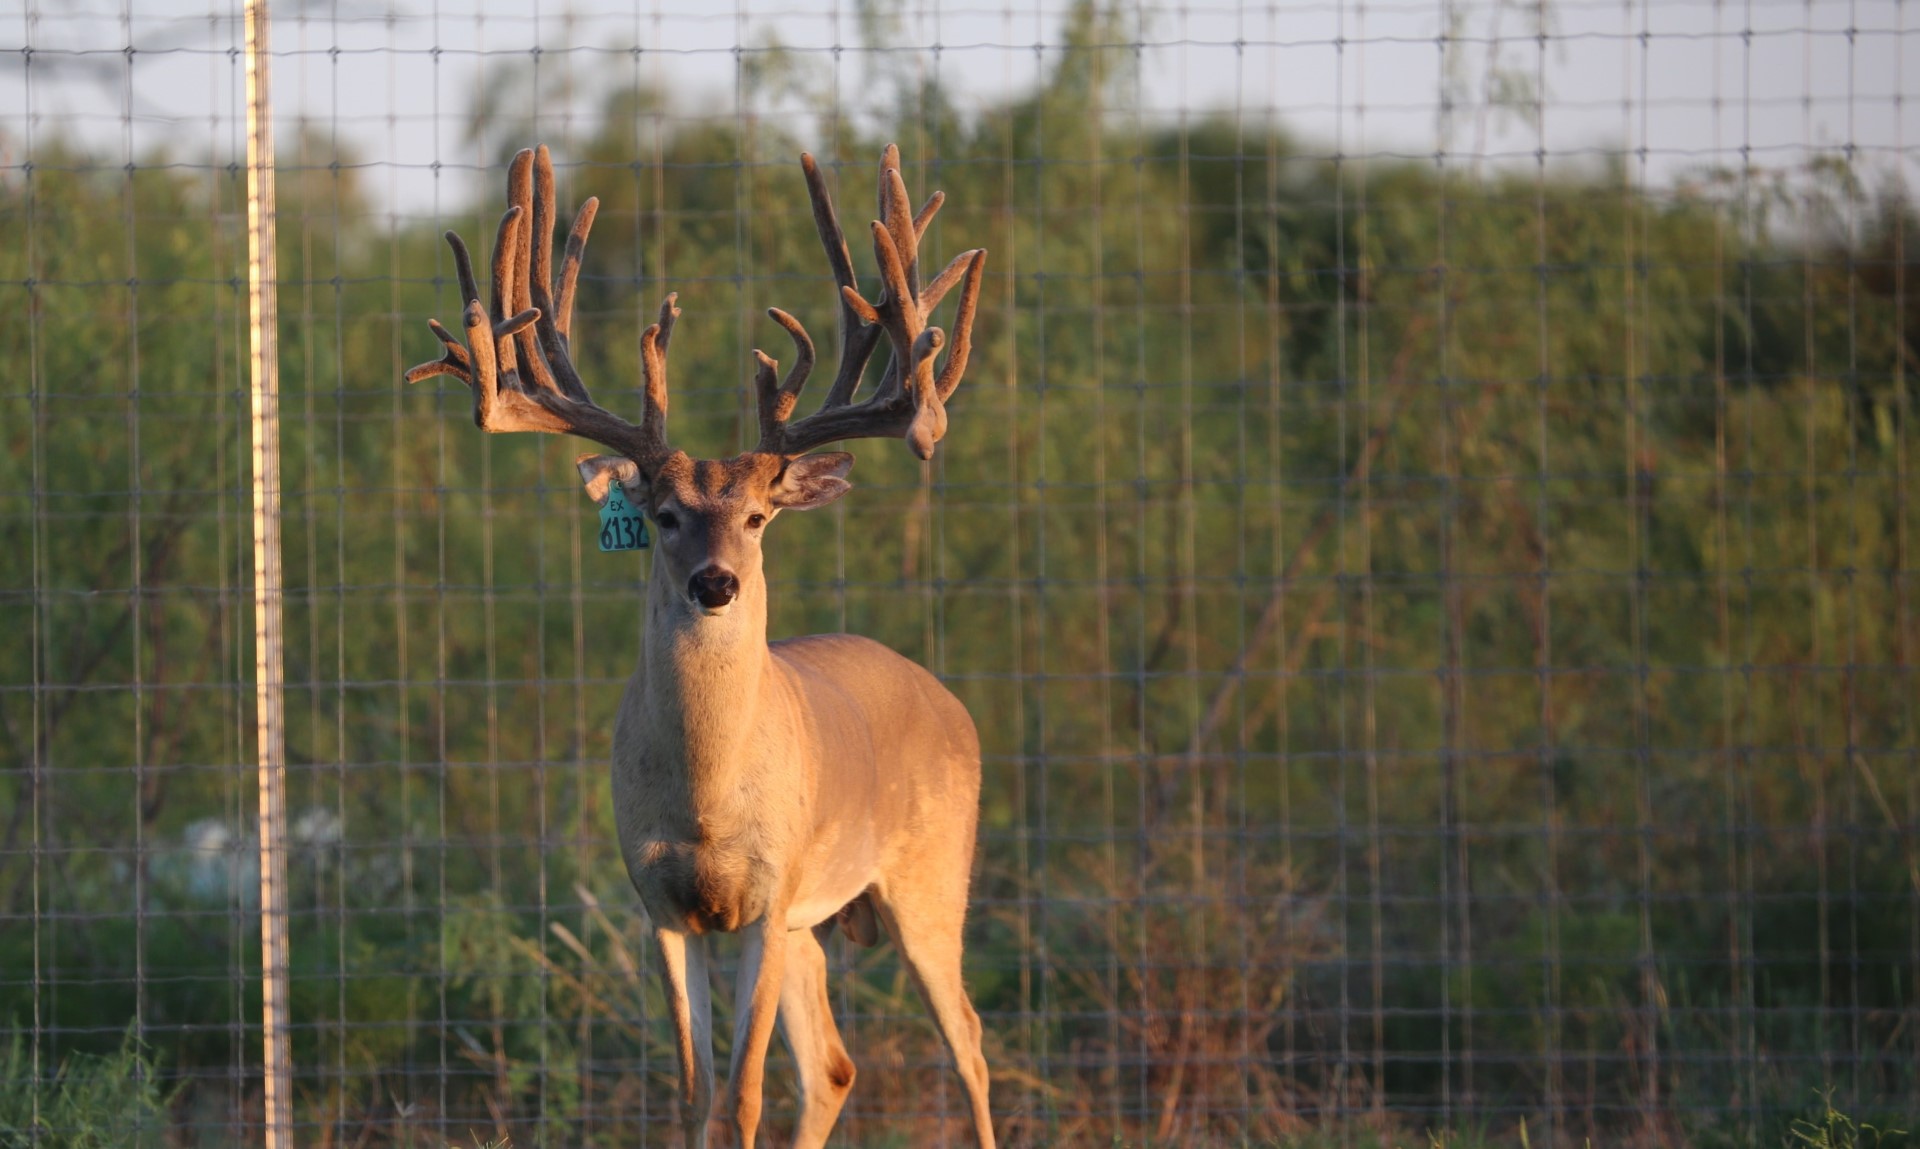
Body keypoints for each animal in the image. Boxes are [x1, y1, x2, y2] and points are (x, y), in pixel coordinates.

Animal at [404, 143, 992, 1149]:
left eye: (757, 516)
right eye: (665, 513)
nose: (715, 583)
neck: (709, 803)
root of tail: (947, 697)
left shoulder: (768, 890)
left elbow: (746, 1092)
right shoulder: (663, 904)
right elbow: (696, 1091)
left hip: (928, 874)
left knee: (970, 1042)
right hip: (811, 924)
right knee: (835, 1064)